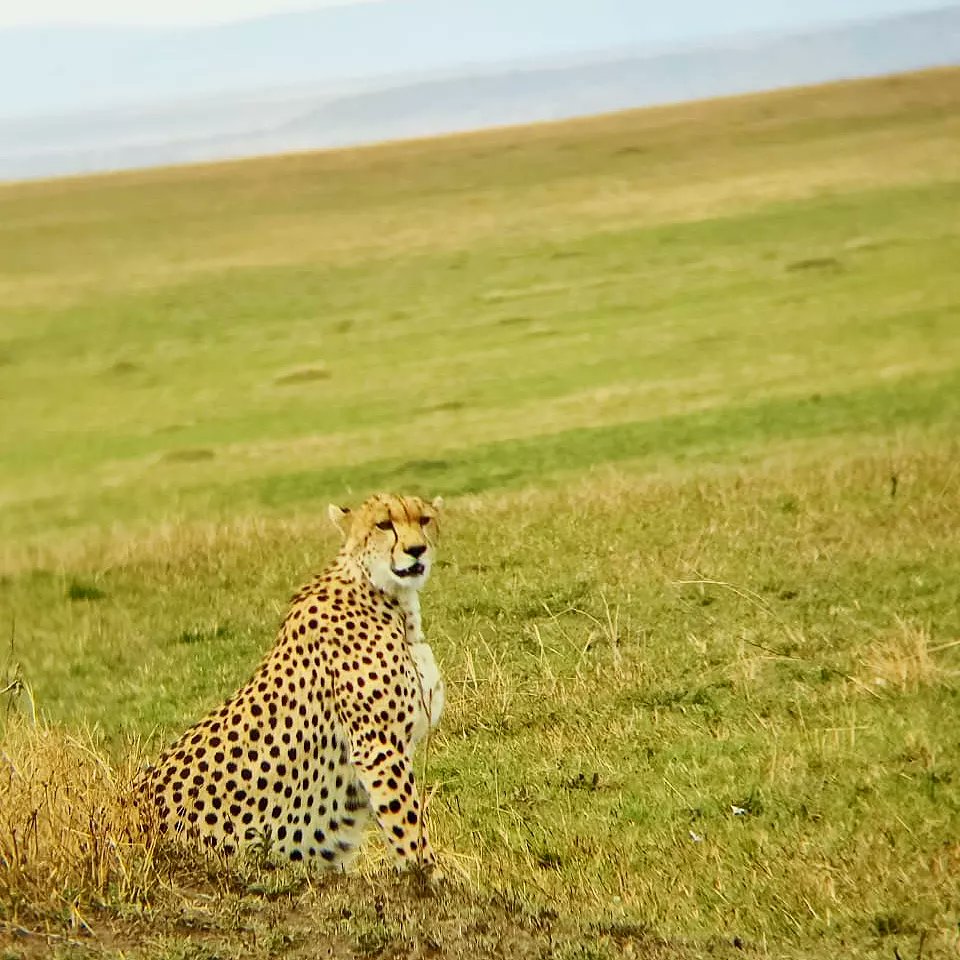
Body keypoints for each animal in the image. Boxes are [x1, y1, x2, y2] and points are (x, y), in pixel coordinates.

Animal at [135, 493, 446, 874]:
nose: (417, 550)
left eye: (424, 520)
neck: (387, 596)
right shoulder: (379, 748)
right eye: (383, 524)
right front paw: (431, 877)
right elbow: (407, 826)